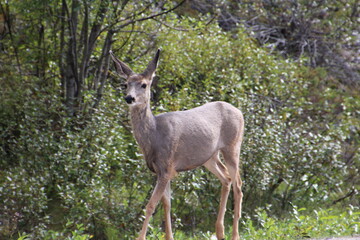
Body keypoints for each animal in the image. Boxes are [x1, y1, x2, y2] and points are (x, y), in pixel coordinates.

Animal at [109, 48, 245, 240]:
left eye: (144, 85)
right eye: (125, 84)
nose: (129, 98)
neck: (154, 135)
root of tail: (240, 112)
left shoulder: (166, 167)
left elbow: (150, 205)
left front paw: (141, 237)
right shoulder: (162, 170)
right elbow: (167, 204)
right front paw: (169, 236)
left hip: (233, 146)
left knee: (238, 185)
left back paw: (234, 235)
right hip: (209, 157)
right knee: (226, 178)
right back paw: (219, 231)